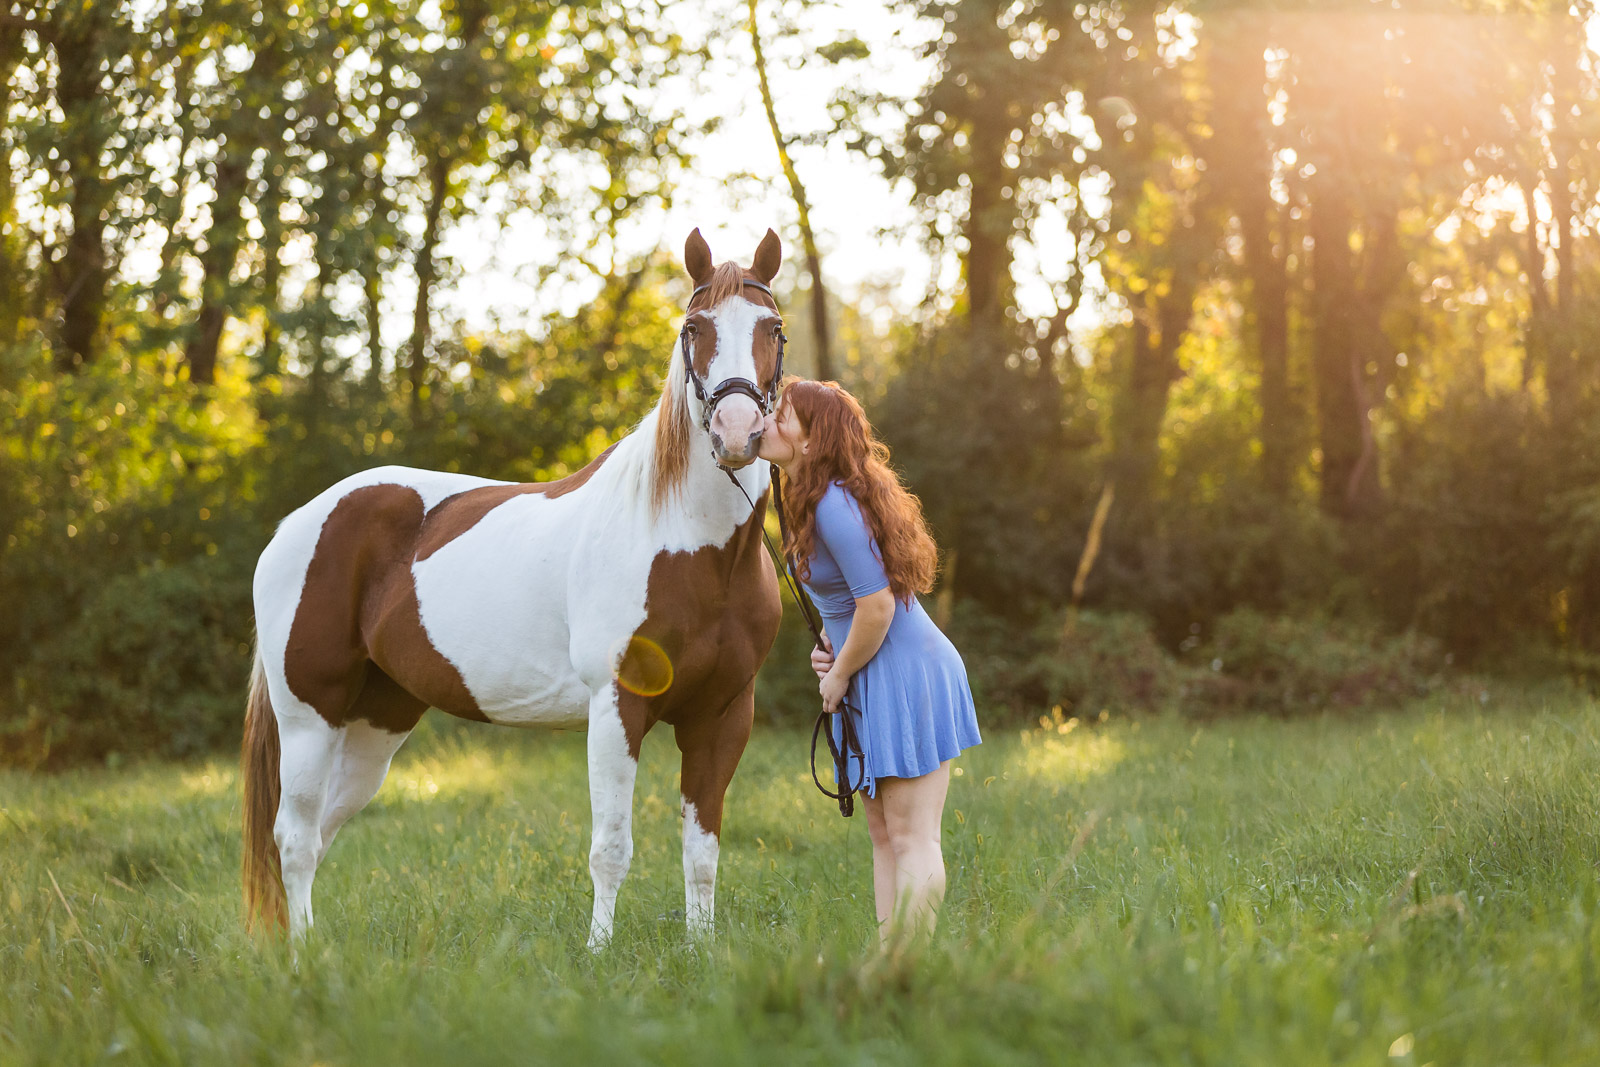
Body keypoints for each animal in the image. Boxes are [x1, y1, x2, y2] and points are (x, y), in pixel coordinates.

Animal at [241, 228, 785, 950]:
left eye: (773, 328)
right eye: (693, 328)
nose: (736, 432)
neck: (688, 544)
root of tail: (297, 523)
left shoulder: (722, 716)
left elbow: (702, 852)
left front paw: (700, 953)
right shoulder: (617, 706)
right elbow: (611, 848)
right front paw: (599, 951)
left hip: (377, 721)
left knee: (320, 830)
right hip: (309, 716)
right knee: (295, 837)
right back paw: (304, 955)